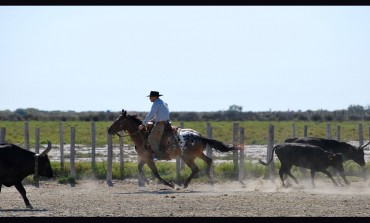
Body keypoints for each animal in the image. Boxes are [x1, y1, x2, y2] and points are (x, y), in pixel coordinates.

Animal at [107, 109, 237, 189]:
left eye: (119, 121)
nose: (109, 130)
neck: (142, 135)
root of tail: (200, 136)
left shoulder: (148, 158)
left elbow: (155, 172)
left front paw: (169, 184)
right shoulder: (145, 158)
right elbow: (140, 168)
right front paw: (147, 181)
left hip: (187, 157)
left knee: (195, 169)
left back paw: (185, 184)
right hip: (197, 154)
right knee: (208, 161)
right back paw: (210, 179)